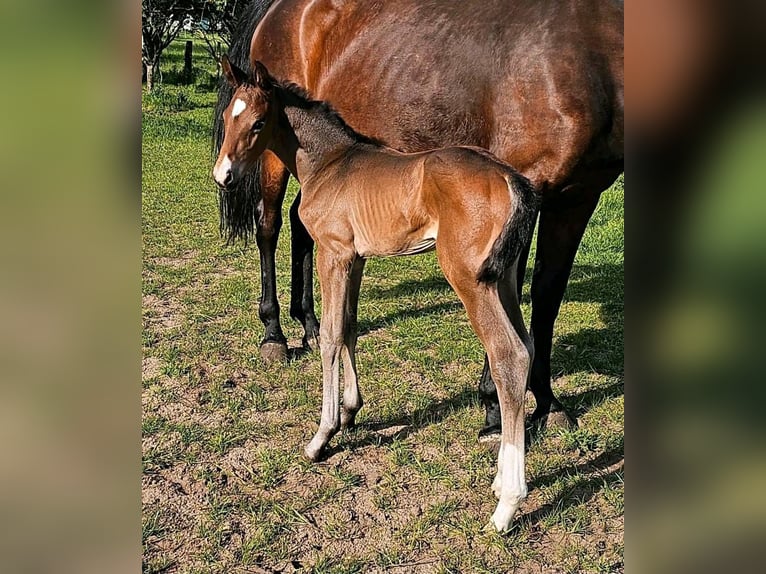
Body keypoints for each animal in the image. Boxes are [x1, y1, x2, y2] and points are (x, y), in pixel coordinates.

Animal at [213, 57, 544, 532]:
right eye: (227, 117)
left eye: (258, 123)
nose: (223, 176)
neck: (330, 162)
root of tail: (512, 178)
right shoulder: (356, 258)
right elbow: (350, 327)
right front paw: (351, 411)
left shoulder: (333, 254)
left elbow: (329, 336)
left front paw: (322, 436)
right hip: (505, 279)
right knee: (527, 346)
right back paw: (501, 482)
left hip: (470, 279)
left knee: (509, 355)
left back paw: (506, 506)